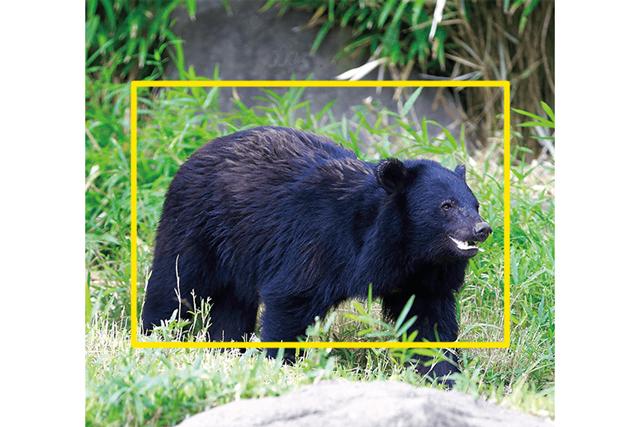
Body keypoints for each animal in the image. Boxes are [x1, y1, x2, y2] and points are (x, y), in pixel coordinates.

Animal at [142, 126, 491, 384]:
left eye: (474, 205)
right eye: (447, 206)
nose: (482, 229)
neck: (406, 249)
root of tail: (193, 156)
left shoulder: (424, 277)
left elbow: (429, 321)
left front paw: (445, 375)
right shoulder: (320, 241)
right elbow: (292, 297)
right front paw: (279, 362)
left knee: (233, 302)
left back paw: (226, 345)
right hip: (197, 225)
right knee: (176, 284)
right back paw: (155, 334)